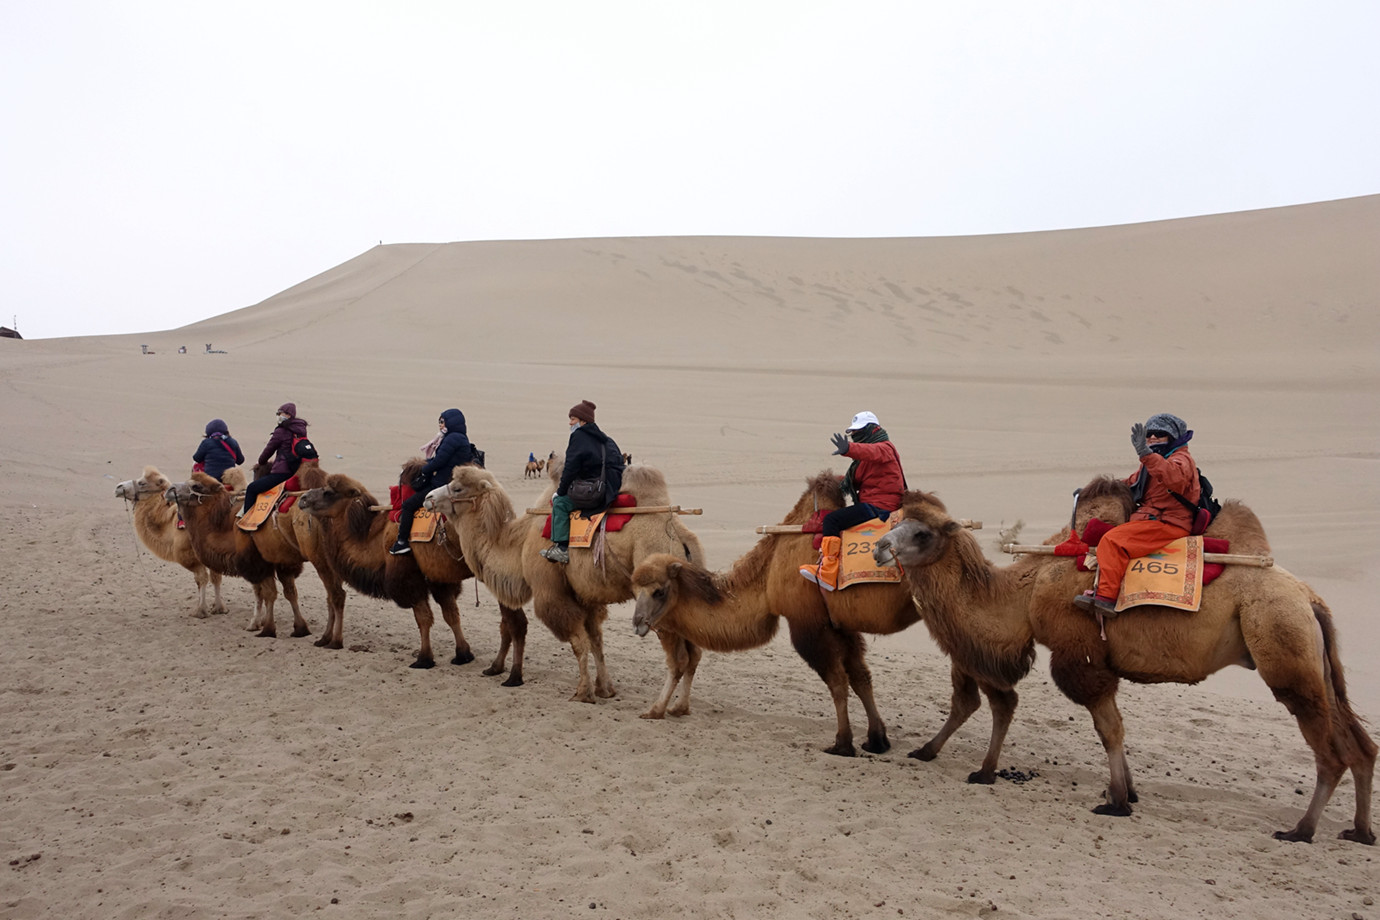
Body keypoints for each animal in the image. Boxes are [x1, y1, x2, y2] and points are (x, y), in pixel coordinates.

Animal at [115, 468, 226, 617]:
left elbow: (202, 578)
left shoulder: (186, 555)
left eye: (142, 482)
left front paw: (200, 610)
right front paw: (218, 607)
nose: (118, 487)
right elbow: (214, 577)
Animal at [419, 460, 701, 706]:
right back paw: (680, 707)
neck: (519, 544)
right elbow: (596, 641)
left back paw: (661, 709)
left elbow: (578, 643)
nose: (428, 497)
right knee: (694, 654)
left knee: (679, 659)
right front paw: (605, 688)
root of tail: (681, 539)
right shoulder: (585, 595)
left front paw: (583, 693)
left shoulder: (551, 593)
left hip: (658, 597)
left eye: (457, 488)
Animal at [632, 471, 921, 761]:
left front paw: (842, 744)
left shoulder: (808, 622)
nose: (637, 622)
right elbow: (861, 677)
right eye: (635, 589)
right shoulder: (841, 624)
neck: (768, 572)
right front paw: (876, 740)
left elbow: (837, 682)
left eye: (659, 592)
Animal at [877, 482, 1374, 849]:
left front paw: (1116, 800)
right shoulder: (1101, 663)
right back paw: (1360, 830)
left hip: (1282, 642)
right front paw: (1127, 791)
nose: (880, 547)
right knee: (1360, 744)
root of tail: (1310, 599)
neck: (1025, 594)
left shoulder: (1080, 658)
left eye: (922, 533)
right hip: (1313, 658)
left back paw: (1302, 830)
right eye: (896, 522)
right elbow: (1114, 727)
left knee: (1329, 750)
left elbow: (1108, 728)